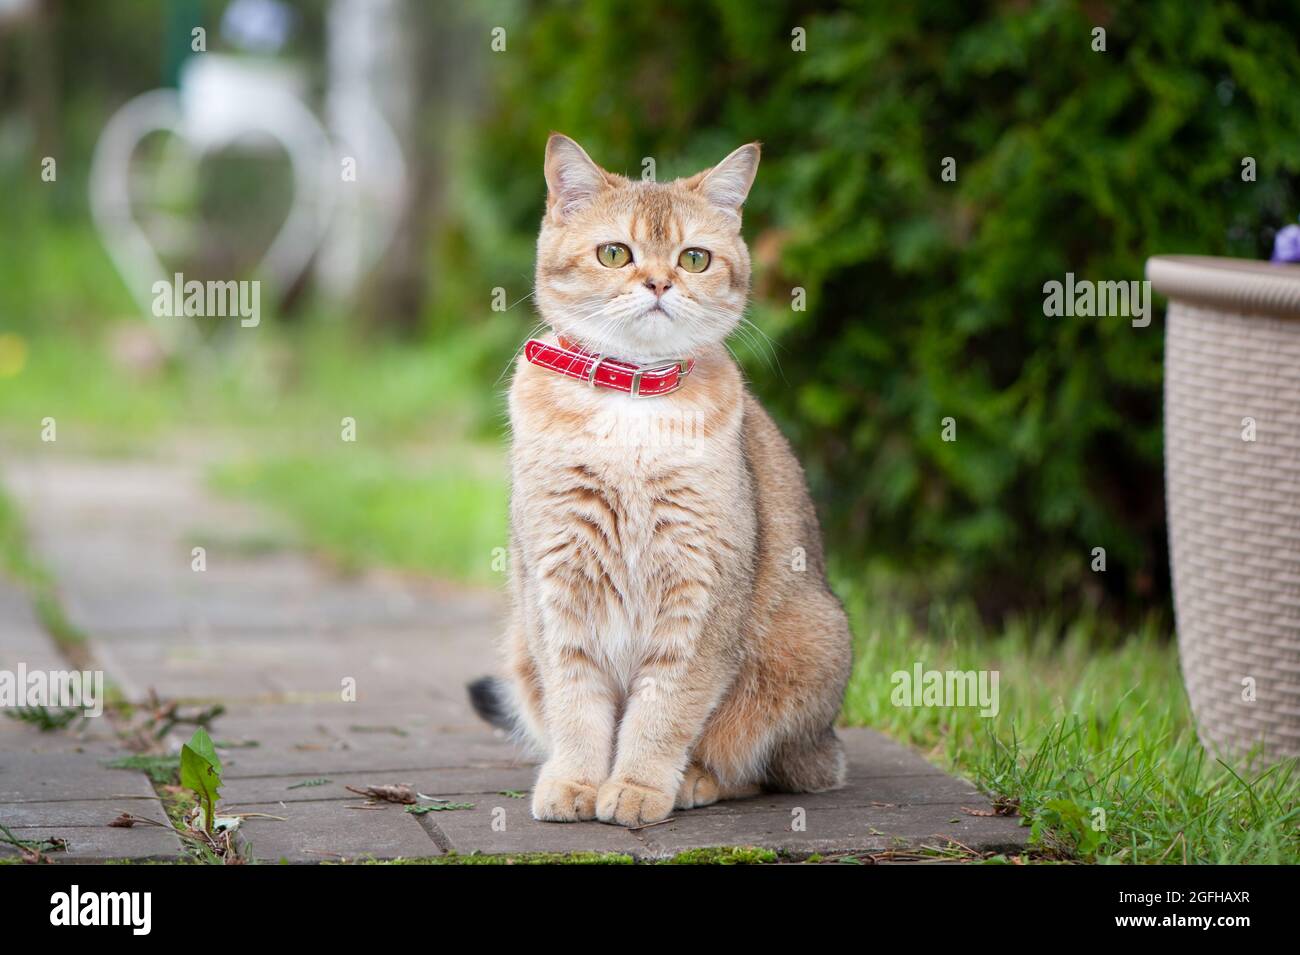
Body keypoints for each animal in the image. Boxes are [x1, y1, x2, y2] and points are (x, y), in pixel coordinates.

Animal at [467, 134, 852, 831]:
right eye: (615, 252)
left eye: (694, 258)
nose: (658, 282)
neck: (631, 408)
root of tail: (828, 744)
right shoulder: (557, 587)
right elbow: (577, 705)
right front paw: (575, 781)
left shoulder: (700, 591)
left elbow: (663, 709)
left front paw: (638, 786)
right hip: (518, 648)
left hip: (809, 644)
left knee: (754, 769)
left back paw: (694, 780)